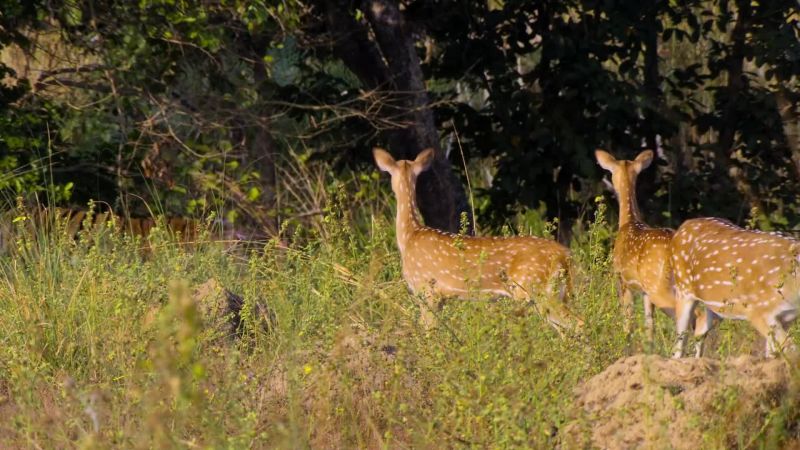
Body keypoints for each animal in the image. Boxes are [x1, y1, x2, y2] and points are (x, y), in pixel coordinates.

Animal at [374, 147, 582, 331]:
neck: (409, 236)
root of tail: (564, 254)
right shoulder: (439, 298)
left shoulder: (425, 290)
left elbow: (429, 332)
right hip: (556, 291)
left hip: (535, 288)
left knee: (578, 323)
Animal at [596, 149, 713, 356]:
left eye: (611, 173)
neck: (628, 223)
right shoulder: (645, 292)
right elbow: (649, 325)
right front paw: (648, 352)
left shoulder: (623, 281)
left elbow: (628, 323)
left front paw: (627, 351)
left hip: (660, 286)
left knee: (695, 317)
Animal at [671, 217, 799, 358]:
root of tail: (684, 225)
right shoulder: (757, 310)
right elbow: (791, 349)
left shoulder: (786, 318)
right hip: (682, 288)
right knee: (680, 341)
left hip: (718, 306)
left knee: (700, 326)